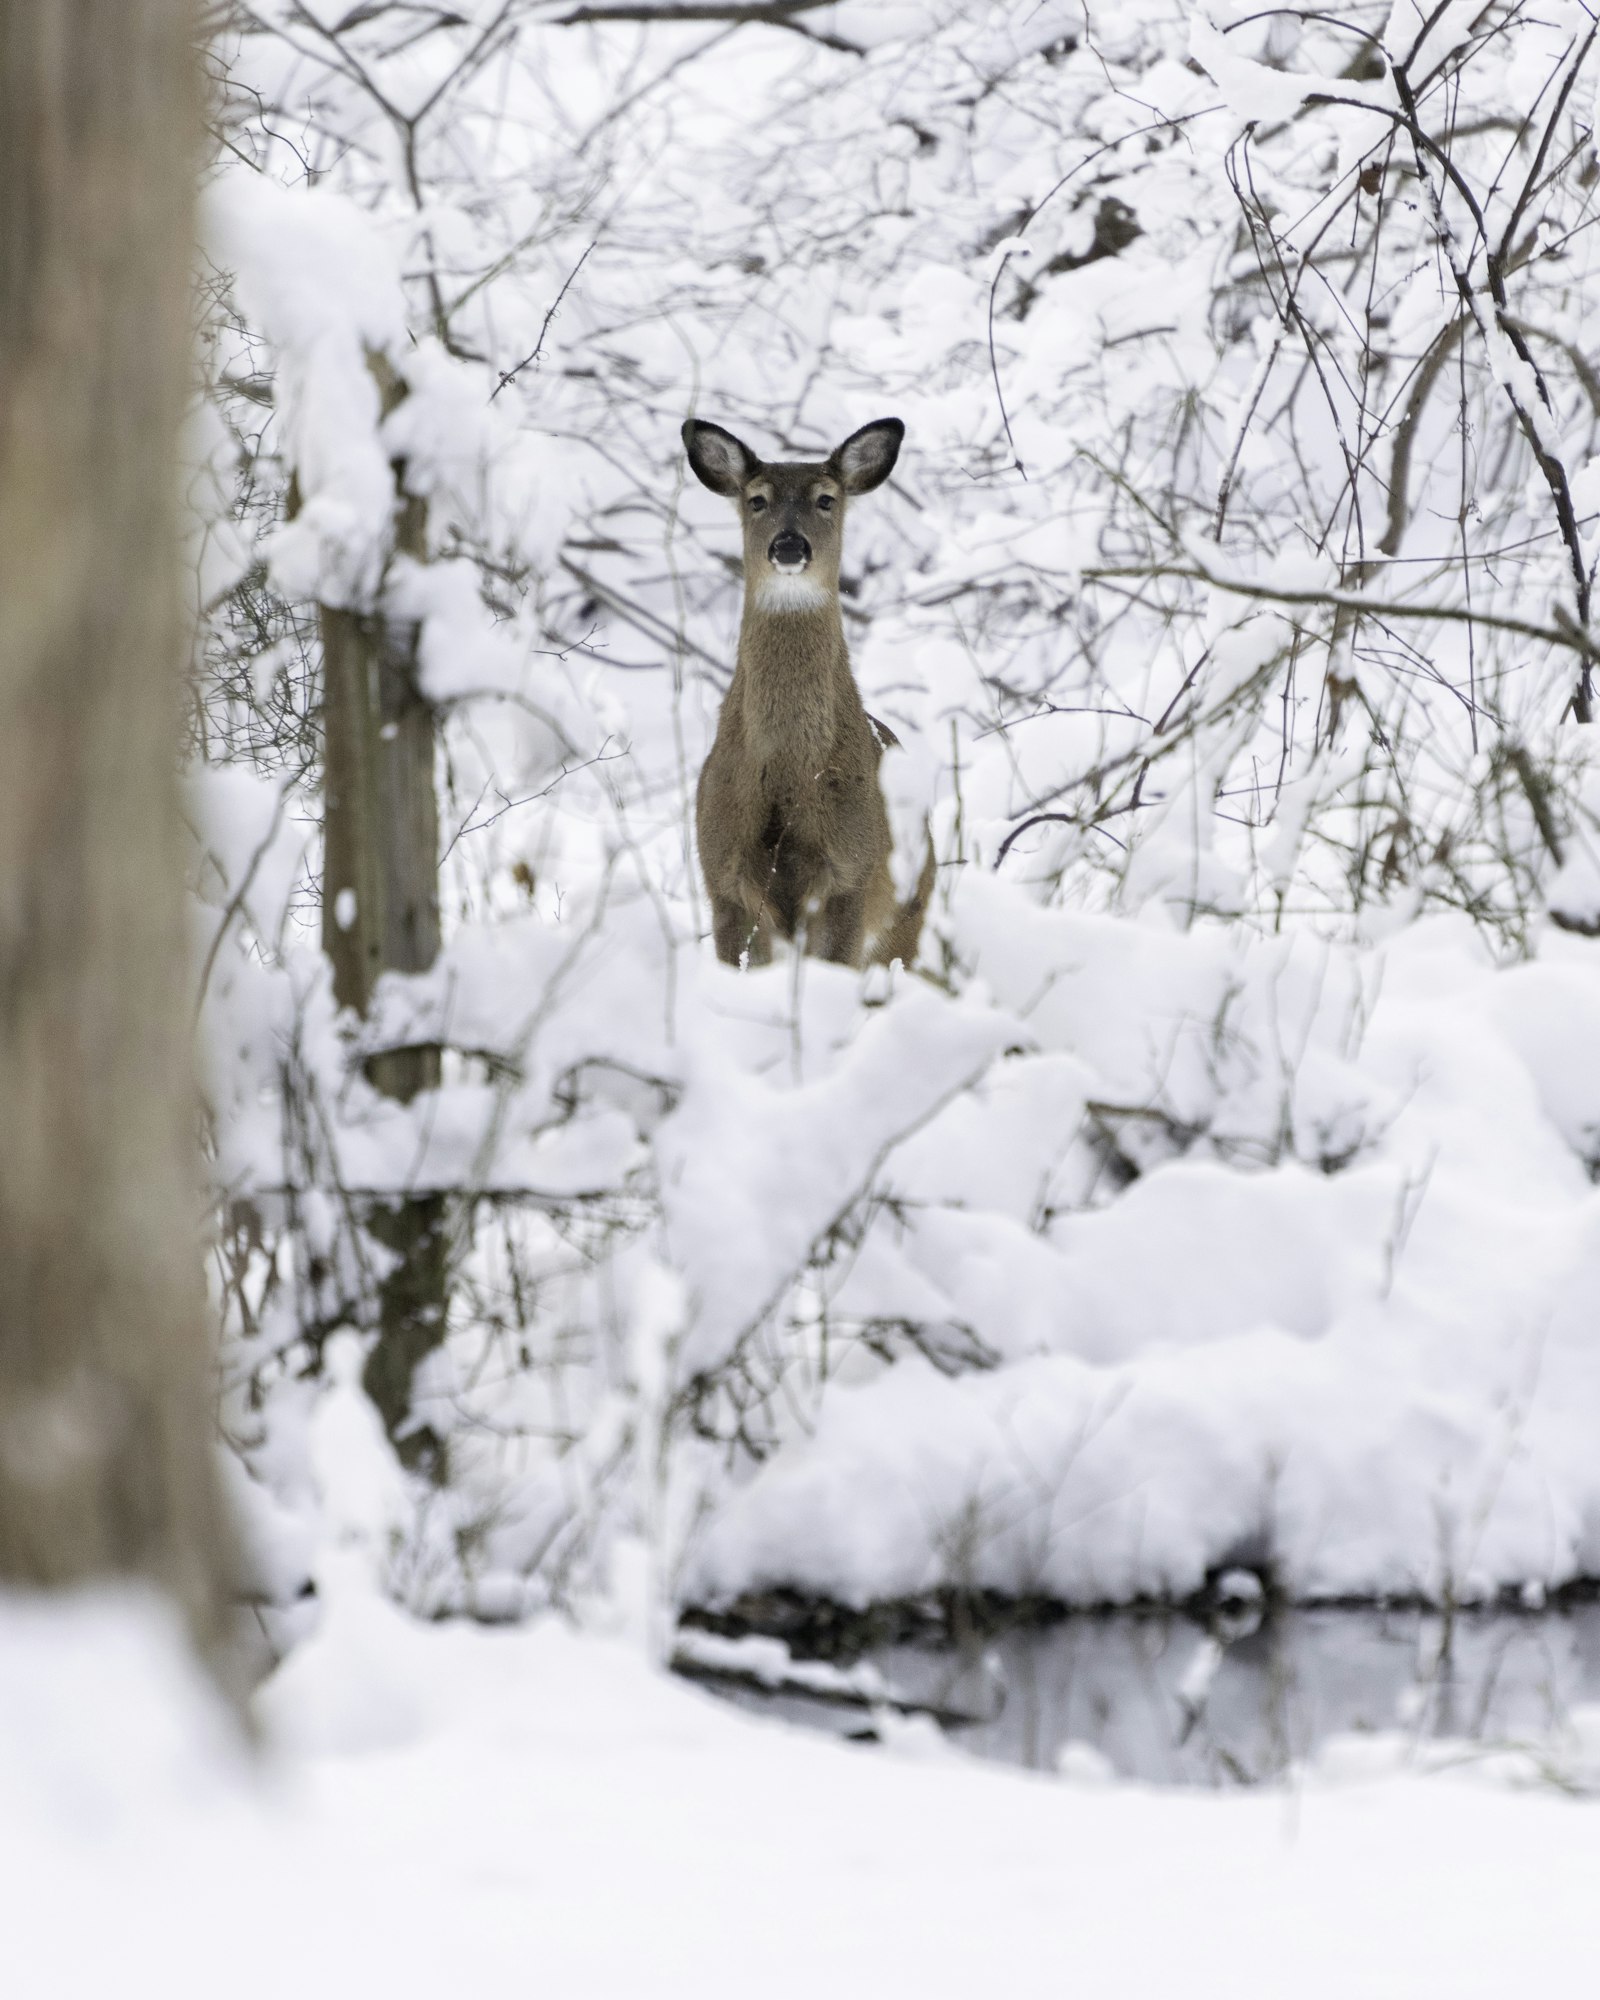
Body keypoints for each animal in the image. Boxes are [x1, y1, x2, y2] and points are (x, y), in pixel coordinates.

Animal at [680, 414, 932, 968]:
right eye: (756, 499)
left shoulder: (852, 872)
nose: (789, 545)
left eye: (826, 499)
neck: (788, 770)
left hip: (907, 915)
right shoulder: (722, 877)